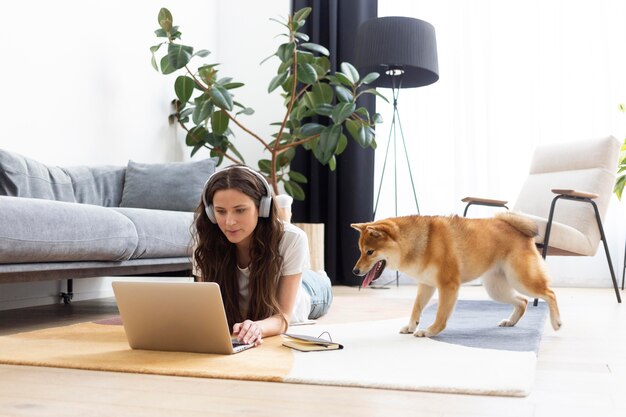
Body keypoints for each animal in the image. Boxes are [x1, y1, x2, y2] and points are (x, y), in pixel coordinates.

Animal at [352, 213, 560, 336]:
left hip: (521, 280)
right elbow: (416, 308)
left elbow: (440, 315)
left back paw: (556, 322)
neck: (421, 243)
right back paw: (510, 321)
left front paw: (430, 331)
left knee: (549, 293)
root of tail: (517, 229)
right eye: (360, 251)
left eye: (370, 252)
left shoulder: (448, 285)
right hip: (497, 290)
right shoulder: (427, 285)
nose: (355, 271)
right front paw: (411, 327)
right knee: (523, 301)